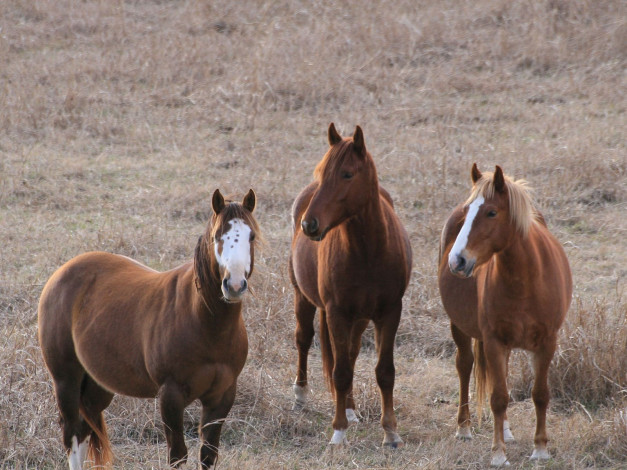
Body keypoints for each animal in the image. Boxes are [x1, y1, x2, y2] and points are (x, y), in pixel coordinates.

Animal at [38, 189, 258, 468]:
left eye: (251, 236)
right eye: (217, 236)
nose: (235, 285)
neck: (206, 325)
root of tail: (61, 273)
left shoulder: (221, 397)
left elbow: (208, 455)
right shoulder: (170, 397)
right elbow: (177, 455)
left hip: (98, 384)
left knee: (86, 428)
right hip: (66, 379)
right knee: (73, 434)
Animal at [288, 122, 412, 448]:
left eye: (347, 174)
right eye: (321, 172)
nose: (309, 225)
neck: (369, 252)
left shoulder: (389, 312)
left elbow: (384, 371)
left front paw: (390, 432)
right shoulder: (337, 312)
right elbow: (340, 371)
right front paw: (338, 432)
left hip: (360, 317)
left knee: (352, 352)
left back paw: (351, 408)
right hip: (303, 297)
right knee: (304, 339)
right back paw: (301, 396)